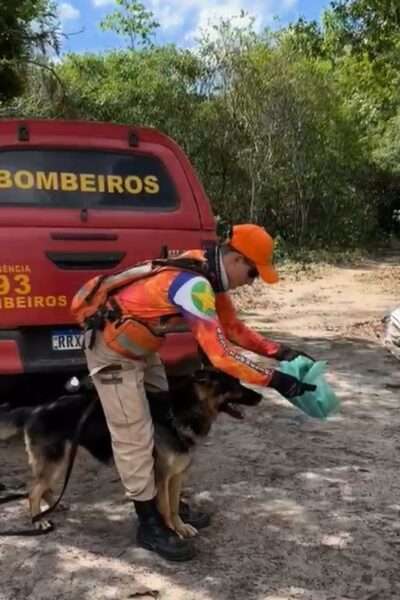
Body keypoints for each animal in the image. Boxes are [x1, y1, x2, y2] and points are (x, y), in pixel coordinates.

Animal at [0, 370, 262, 540]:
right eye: (234, 385)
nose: (260, 396)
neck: (177, 412)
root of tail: (36, 409)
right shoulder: (161, 477)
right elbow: (164, 506)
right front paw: (171, 532)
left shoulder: (177, 476)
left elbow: (174, 507)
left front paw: (181, 526)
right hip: (55, 462)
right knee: (33, 490)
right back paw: (39, 520)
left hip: (60, 461)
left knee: (42, 486)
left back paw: (54, 505)